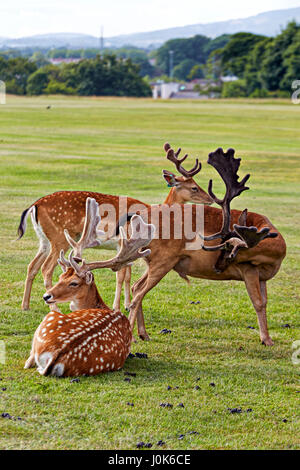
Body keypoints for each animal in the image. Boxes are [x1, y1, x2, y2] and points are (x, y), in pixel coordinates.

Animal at [17, 143, 212, 312]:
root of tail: (34, 205)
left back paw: (25, 305)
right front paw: (118, 306)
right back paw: (55, 308)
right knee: (46, 268)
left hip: (44, 240)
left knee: (32, 265)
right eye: (194, 187)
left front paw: (126, 304)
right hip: (59, 238)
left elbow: (127, 275)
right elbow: (120, 276)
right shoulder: (123, 242)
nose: (210, 198)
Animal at [24, 198, 155, 378]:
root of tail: (56, 353)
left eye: (74, 283)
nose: (46, 296)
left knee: (29, 360)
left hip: (50, 317)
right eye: (61, 277)